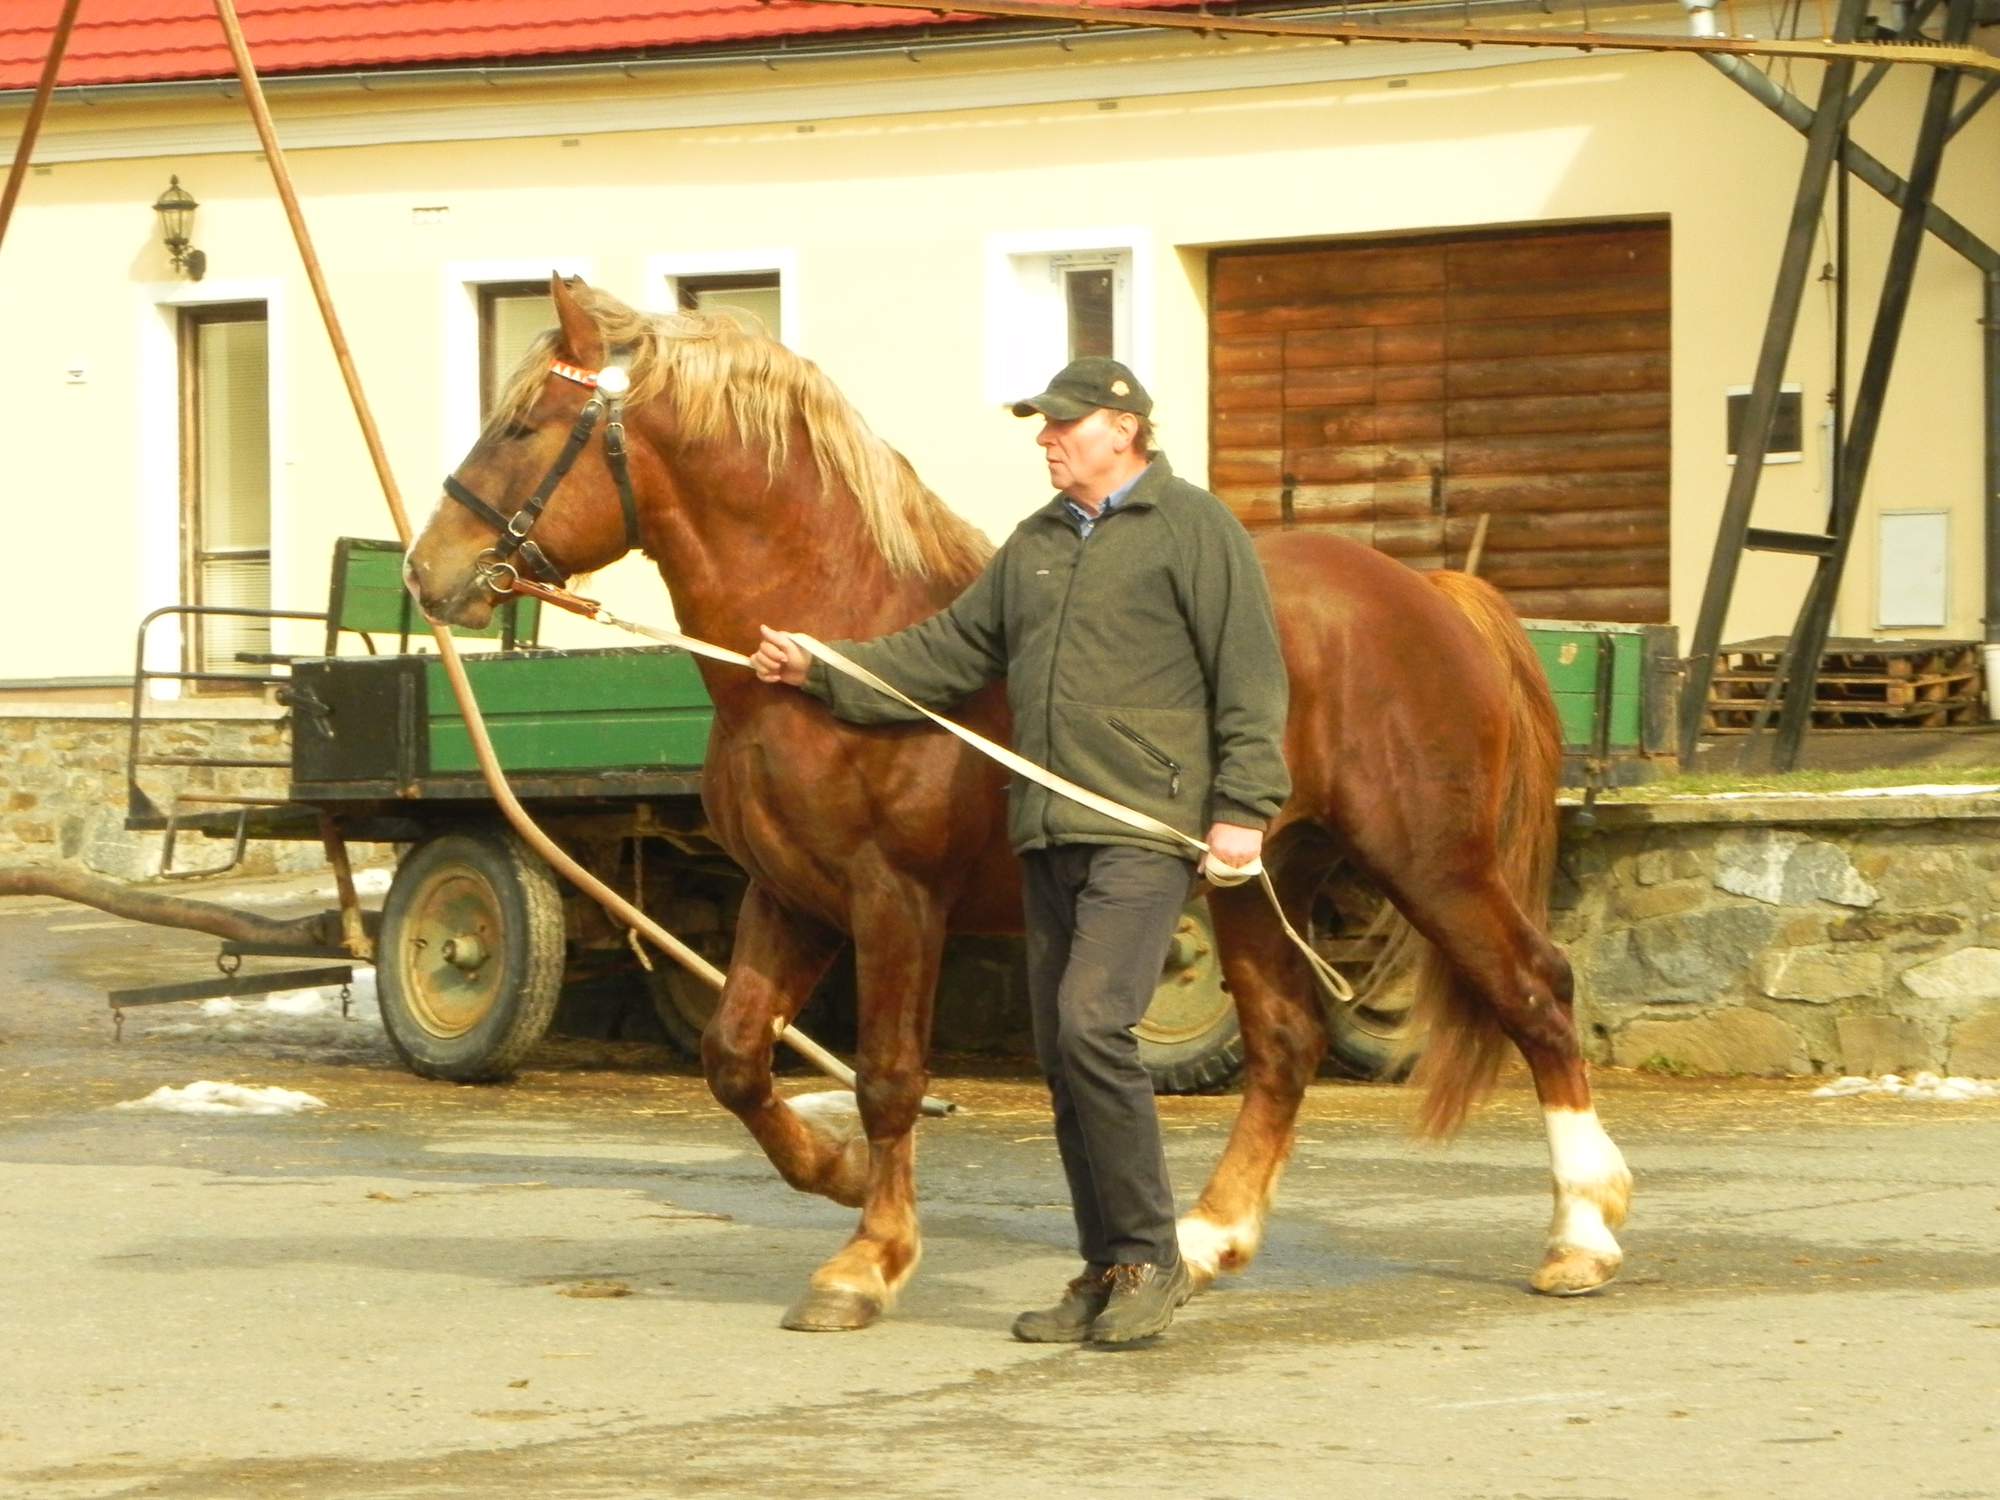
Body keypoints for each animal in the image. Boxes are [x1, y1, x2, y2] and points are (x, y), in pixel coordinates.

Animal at [402, 276, 1624, 1336]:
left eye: (524, 426)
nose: (428, 572)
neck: (839, 644)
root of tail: (1431, 594)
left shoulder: (895, 902)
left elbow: (891, 1078)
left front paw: (867, 1262)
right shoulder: (788, 898)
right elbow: (737, 1057)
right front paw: (833, 1169)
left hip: (1430, 865)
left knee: (1536, 995)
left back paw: (1581, 1235)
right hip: (1254, 878)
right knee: (1286, 1043)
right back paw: (1203, 1243)